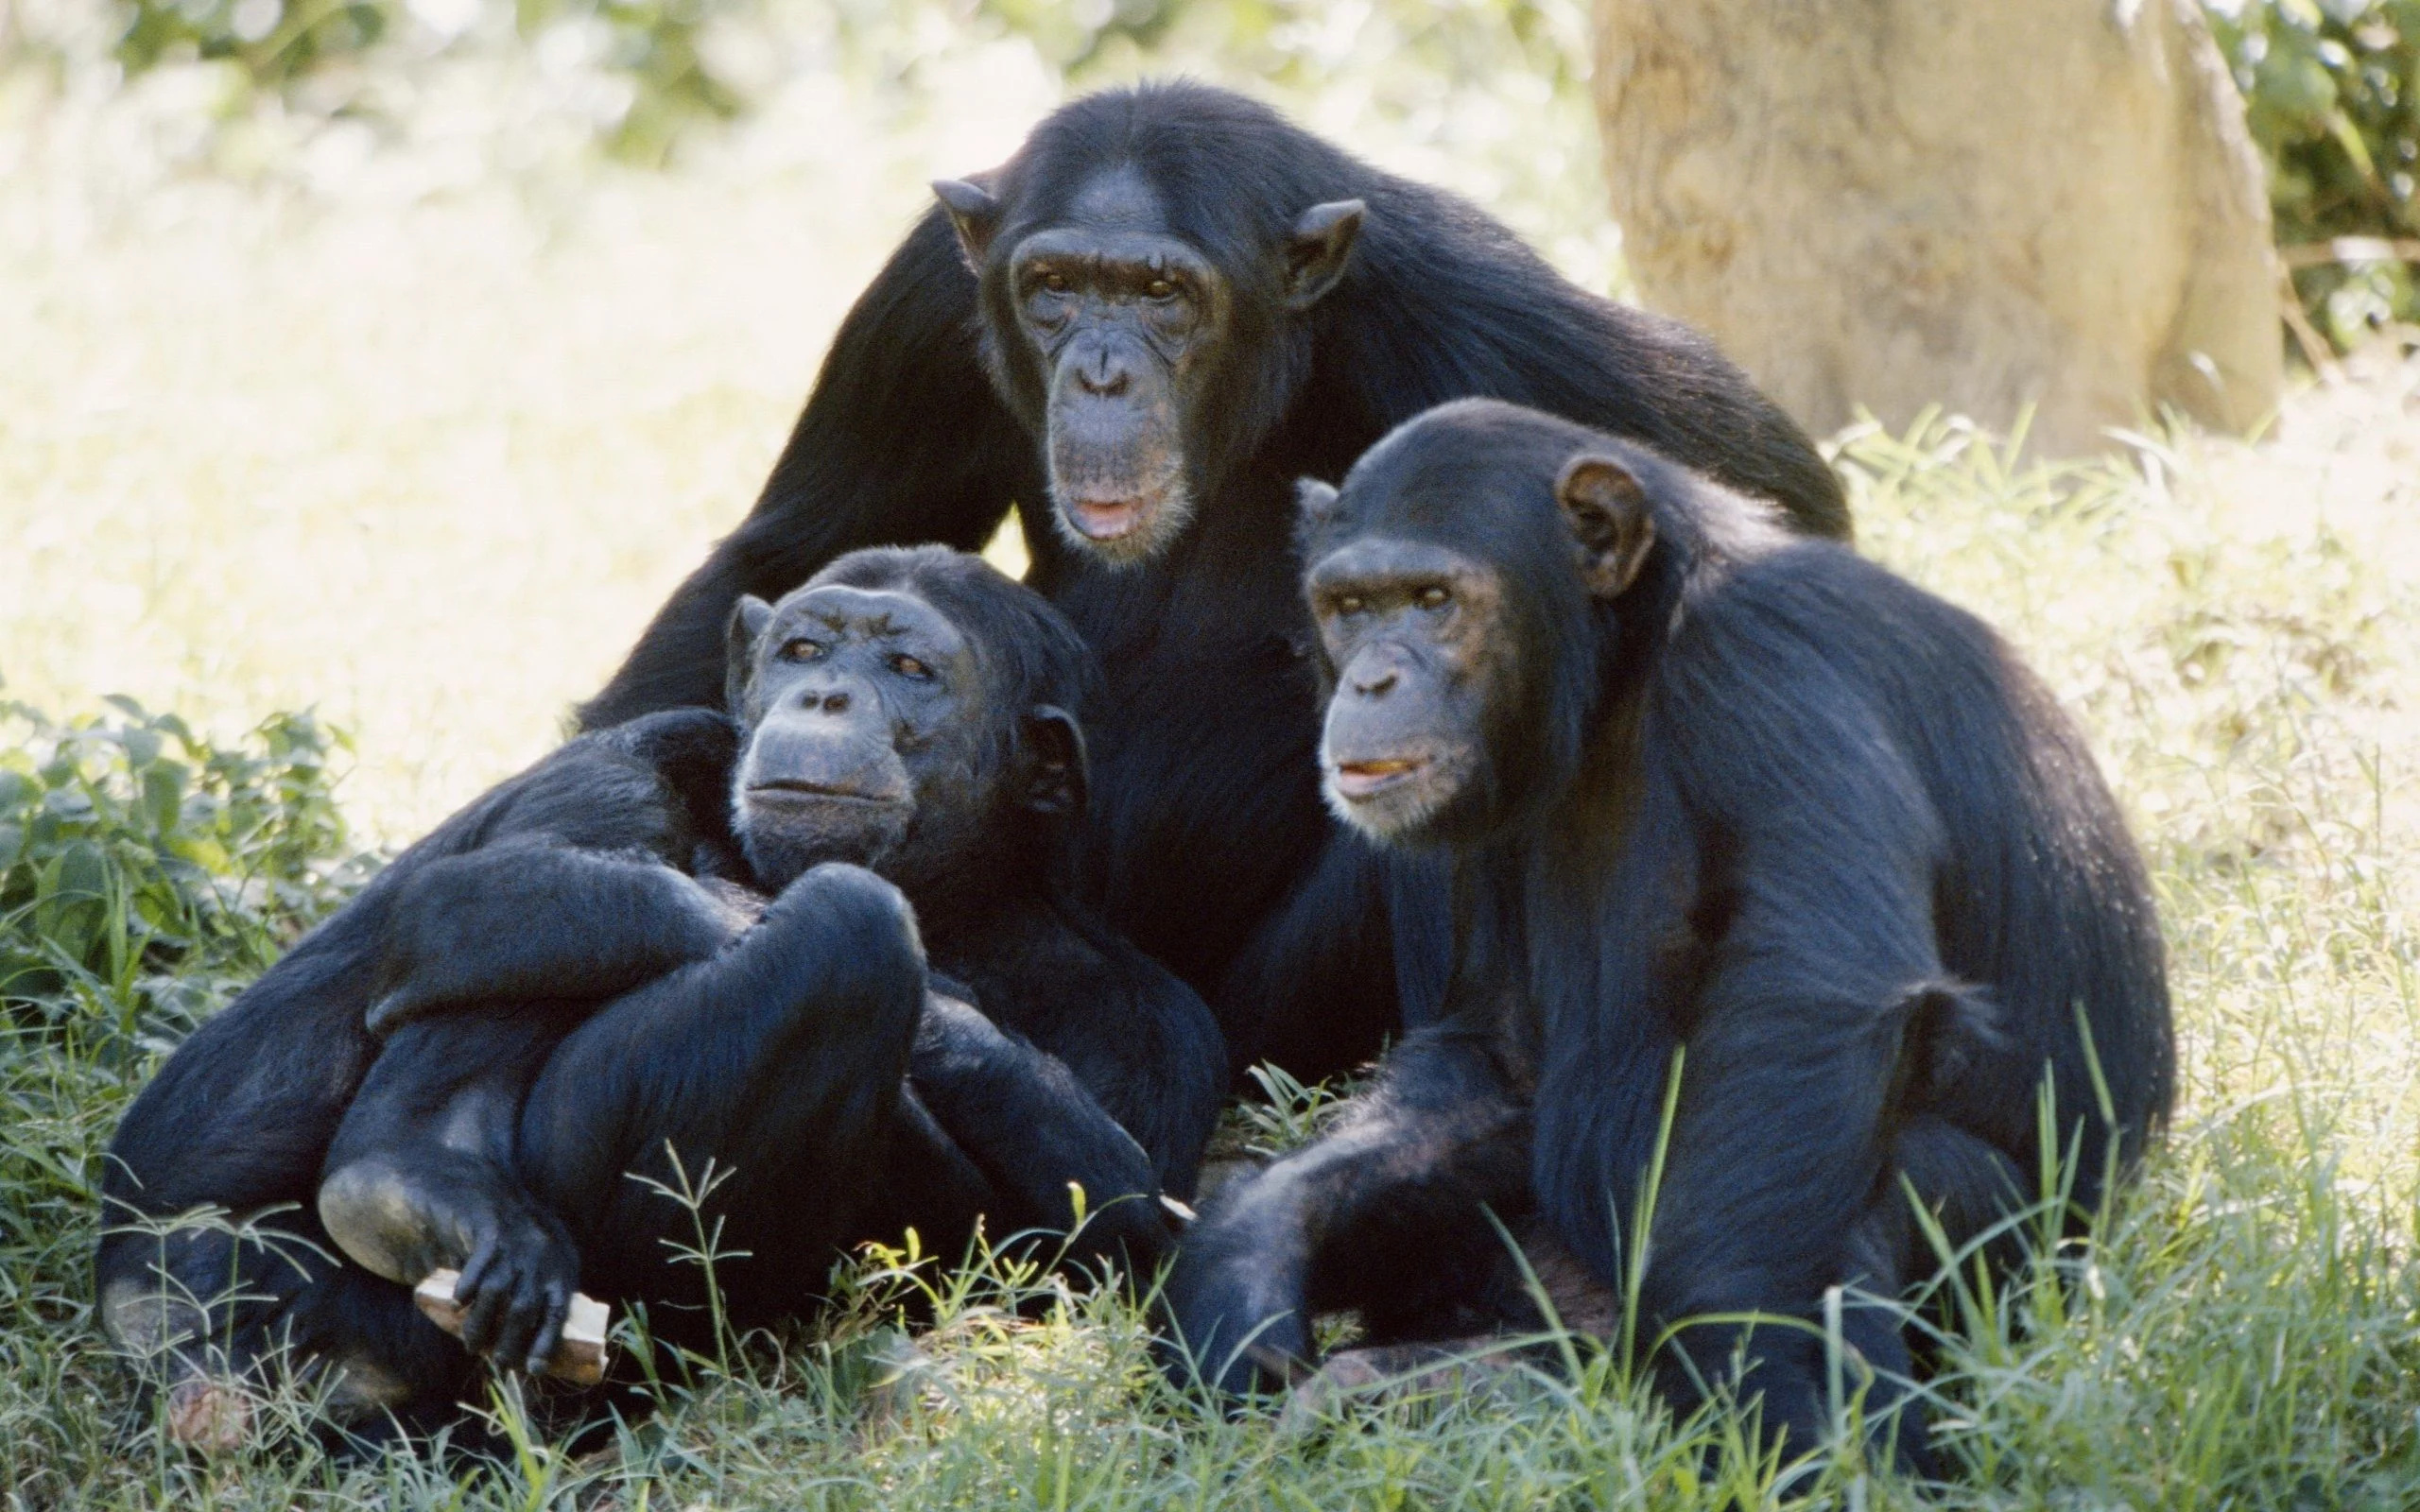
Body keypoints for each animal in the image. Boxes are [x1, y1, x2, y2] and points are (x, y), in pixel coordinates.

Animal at [101, 544, 1219, 1441]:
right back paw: (413, 1180)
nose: (825, 699)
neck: (952, 896)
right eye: (804, 651)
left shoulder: (1163, 1029)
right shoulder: (642, 747)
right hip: (255, 1312)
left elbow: (1121, 1235)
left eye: (910, 670)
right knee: (819, 928)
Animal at [571, 79, 1848, 1083]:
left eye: (1160, 295)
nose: (1099, 369)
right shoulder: (923, 300)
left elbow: (1768, 501)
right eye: (1056, 286)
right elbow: (802, 541)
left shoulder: (1484, 321)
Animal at [1161, 404, 2187, 1470]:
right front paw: (1249, 1248)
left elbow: (1810, 998)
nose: (1369, 678)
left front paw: (1777, 1410)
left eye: (1433, 598)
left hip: (2031, 1284)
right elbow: (1492, 1057)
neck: (1626, 661)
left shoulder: (1770, 661)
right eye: (1350, 605)